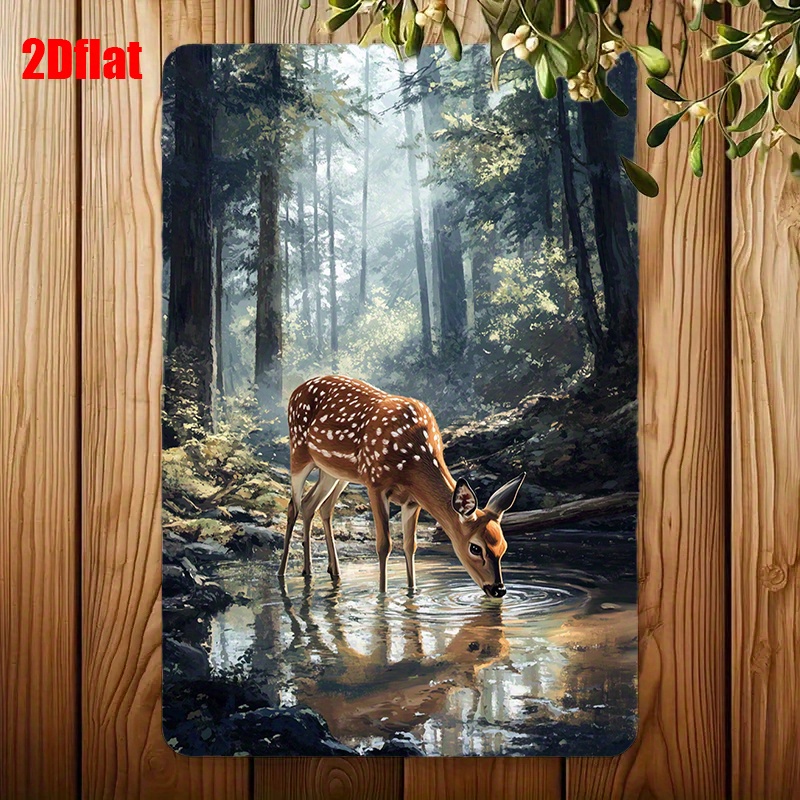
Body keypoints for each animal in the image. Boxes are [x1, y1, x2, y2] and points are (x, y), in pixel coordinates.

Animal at [278, 374, 525, 598]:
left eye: (504, 546)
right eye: (475, 547)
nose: (499, 589)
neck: (412, 460)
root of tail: (296, 390)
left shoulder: (412, 500)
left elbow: (409, 545)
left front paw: (412, 592)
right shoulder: (375, 483)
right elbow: (384, 545)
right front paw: (382, 595)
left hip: (336, 472)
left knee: (316, 505)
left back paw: (325, 571)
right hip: (299, 451)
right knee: (294, 506)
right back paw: (285, 572)